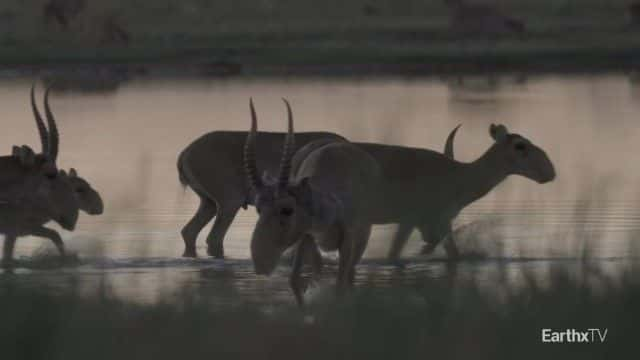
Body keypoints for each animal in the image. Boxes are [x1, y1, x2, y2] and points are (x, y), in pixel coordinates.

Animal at [245, 100, 380, 306]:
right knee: (318, 269)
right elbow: (294, 281)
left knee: (348, 275)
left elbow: (340, 285)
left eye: (287, 209)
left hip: (361, 240)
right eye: (259, 208)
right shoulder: (306, 235)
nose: (261, 263)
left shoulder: (349, 242)